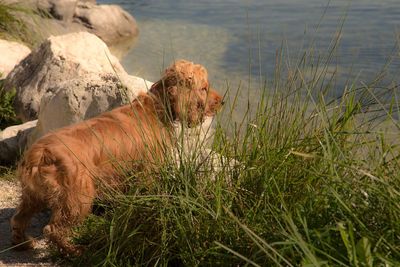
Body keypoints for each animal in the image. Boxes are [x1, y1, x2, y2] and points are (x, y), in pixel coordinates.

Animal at [10, 60, 223, 255]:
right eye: (204, 88)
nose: (222, 101)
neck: (156, 107)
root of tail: (40, 154)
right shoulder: (148, 172)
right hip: (78, 197)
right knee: (53, 229)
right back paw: (74, 250)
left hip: (33, 195)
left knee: (18, 219)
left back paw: (23, 243)